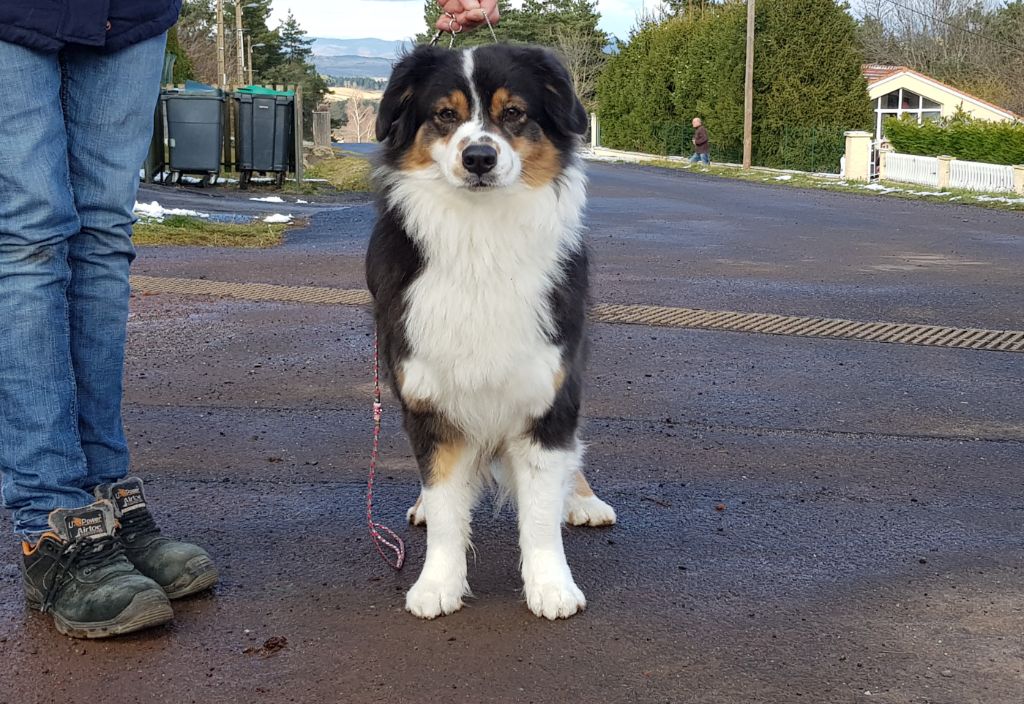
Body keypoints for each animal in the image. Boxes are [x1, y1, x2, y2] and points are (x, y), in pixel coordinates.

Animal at [366, 43, 615, 620]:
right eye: (444, 115)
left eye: (514, 113)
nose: (478, 157)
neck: (481, 241)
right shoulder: (428, 399)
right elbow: (446, 507)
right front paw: (438, 584)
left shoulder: (549, 394)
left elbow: (541, 514)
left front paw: (551, 586)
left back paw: (584, 499)